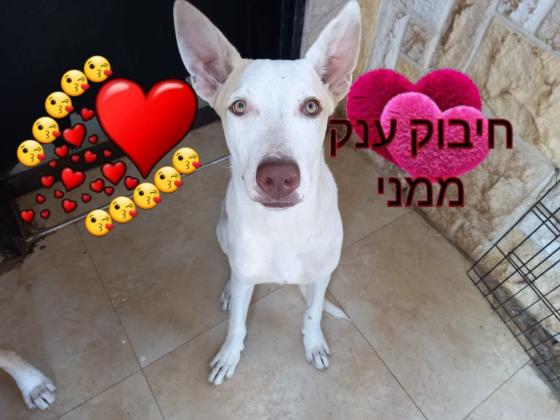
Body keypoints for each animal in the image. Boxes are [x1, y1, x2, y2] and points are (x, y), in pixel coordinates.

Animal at [174, 0, 361, 385]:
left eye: (311, 106)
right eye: (239, 107)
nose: (277, 177)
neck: (282, 227)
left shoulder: (322, 274)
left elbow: (313, 312)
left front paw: (313, 342)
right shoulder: (244, 271)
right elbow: (236, 324)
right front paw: (230, 354)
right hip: (222, 232)